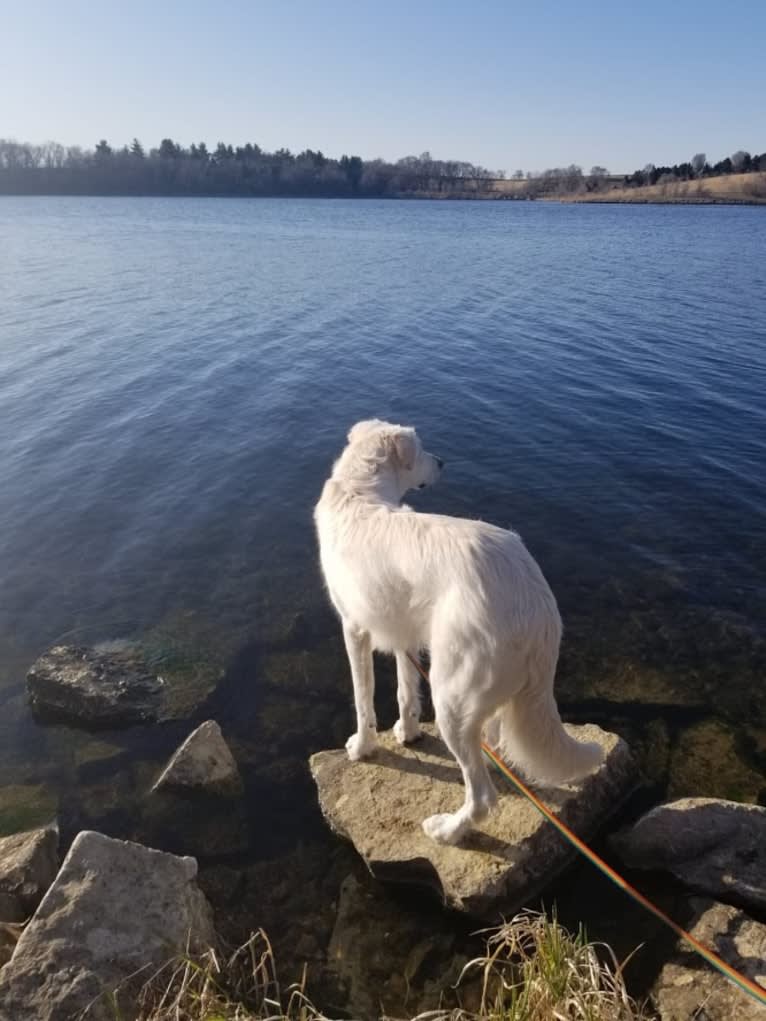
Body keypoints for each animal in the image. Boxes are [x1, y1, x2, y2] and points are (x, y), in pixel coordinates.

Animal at [312, 420, 604, 845]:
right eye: (422, 450)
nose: (442, 461)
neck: (361, 491)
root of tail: (537, 607)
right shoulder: (405, 631)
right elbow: (405, 691)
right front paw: (408, 732)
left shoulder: (355, 629)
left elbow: (362, 699)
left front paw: (362, 747)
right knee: (494, 743)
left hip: (451, 695)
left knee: (483, 795)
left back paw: (447, 830)